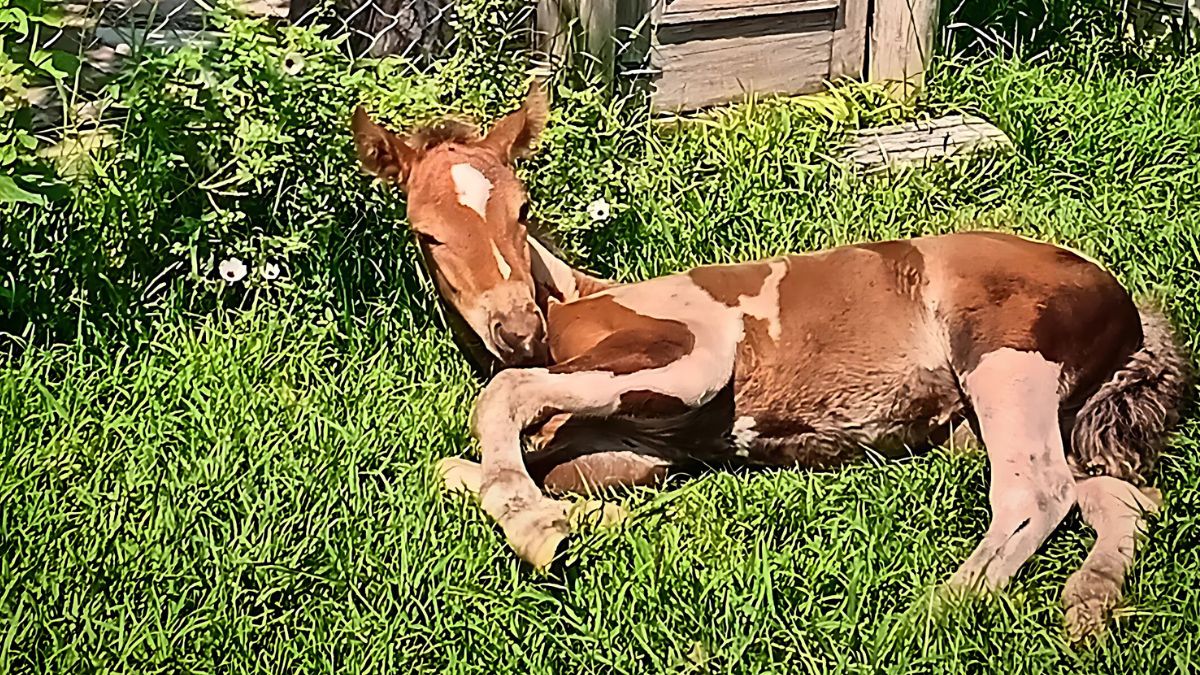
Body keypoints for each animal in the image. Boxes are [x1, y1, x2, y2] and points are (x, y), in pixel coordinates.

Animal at [350, 84, 1190, 634]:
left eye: (522, 210)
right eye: (426, 233)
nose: (519, 329)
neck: (576, 306)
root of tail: (1128, 307)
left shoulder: (690, 361)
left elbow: (501, 400)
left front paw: (539, 529)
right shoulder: (633, 444)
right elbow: (481, 461)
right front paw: (590, 516)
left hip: (1005, 359)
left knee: (1037, 490)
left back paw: (940, 607)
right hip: (1041, 413)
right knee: (1122, 496)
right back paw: (1086, 606)